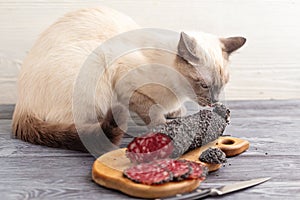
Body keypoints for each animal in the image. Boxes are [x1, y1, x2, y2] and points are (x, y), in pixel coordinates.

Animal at [12, 5, 246, 153]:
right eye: (204, 85)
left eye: (223, 84)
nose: (215, 101)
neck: (177, 90)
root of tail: (21, 108)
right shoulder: (124, 81)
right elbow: (151, 109)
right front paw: (164, 126)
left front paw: (175, 113)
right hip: (95, 70)